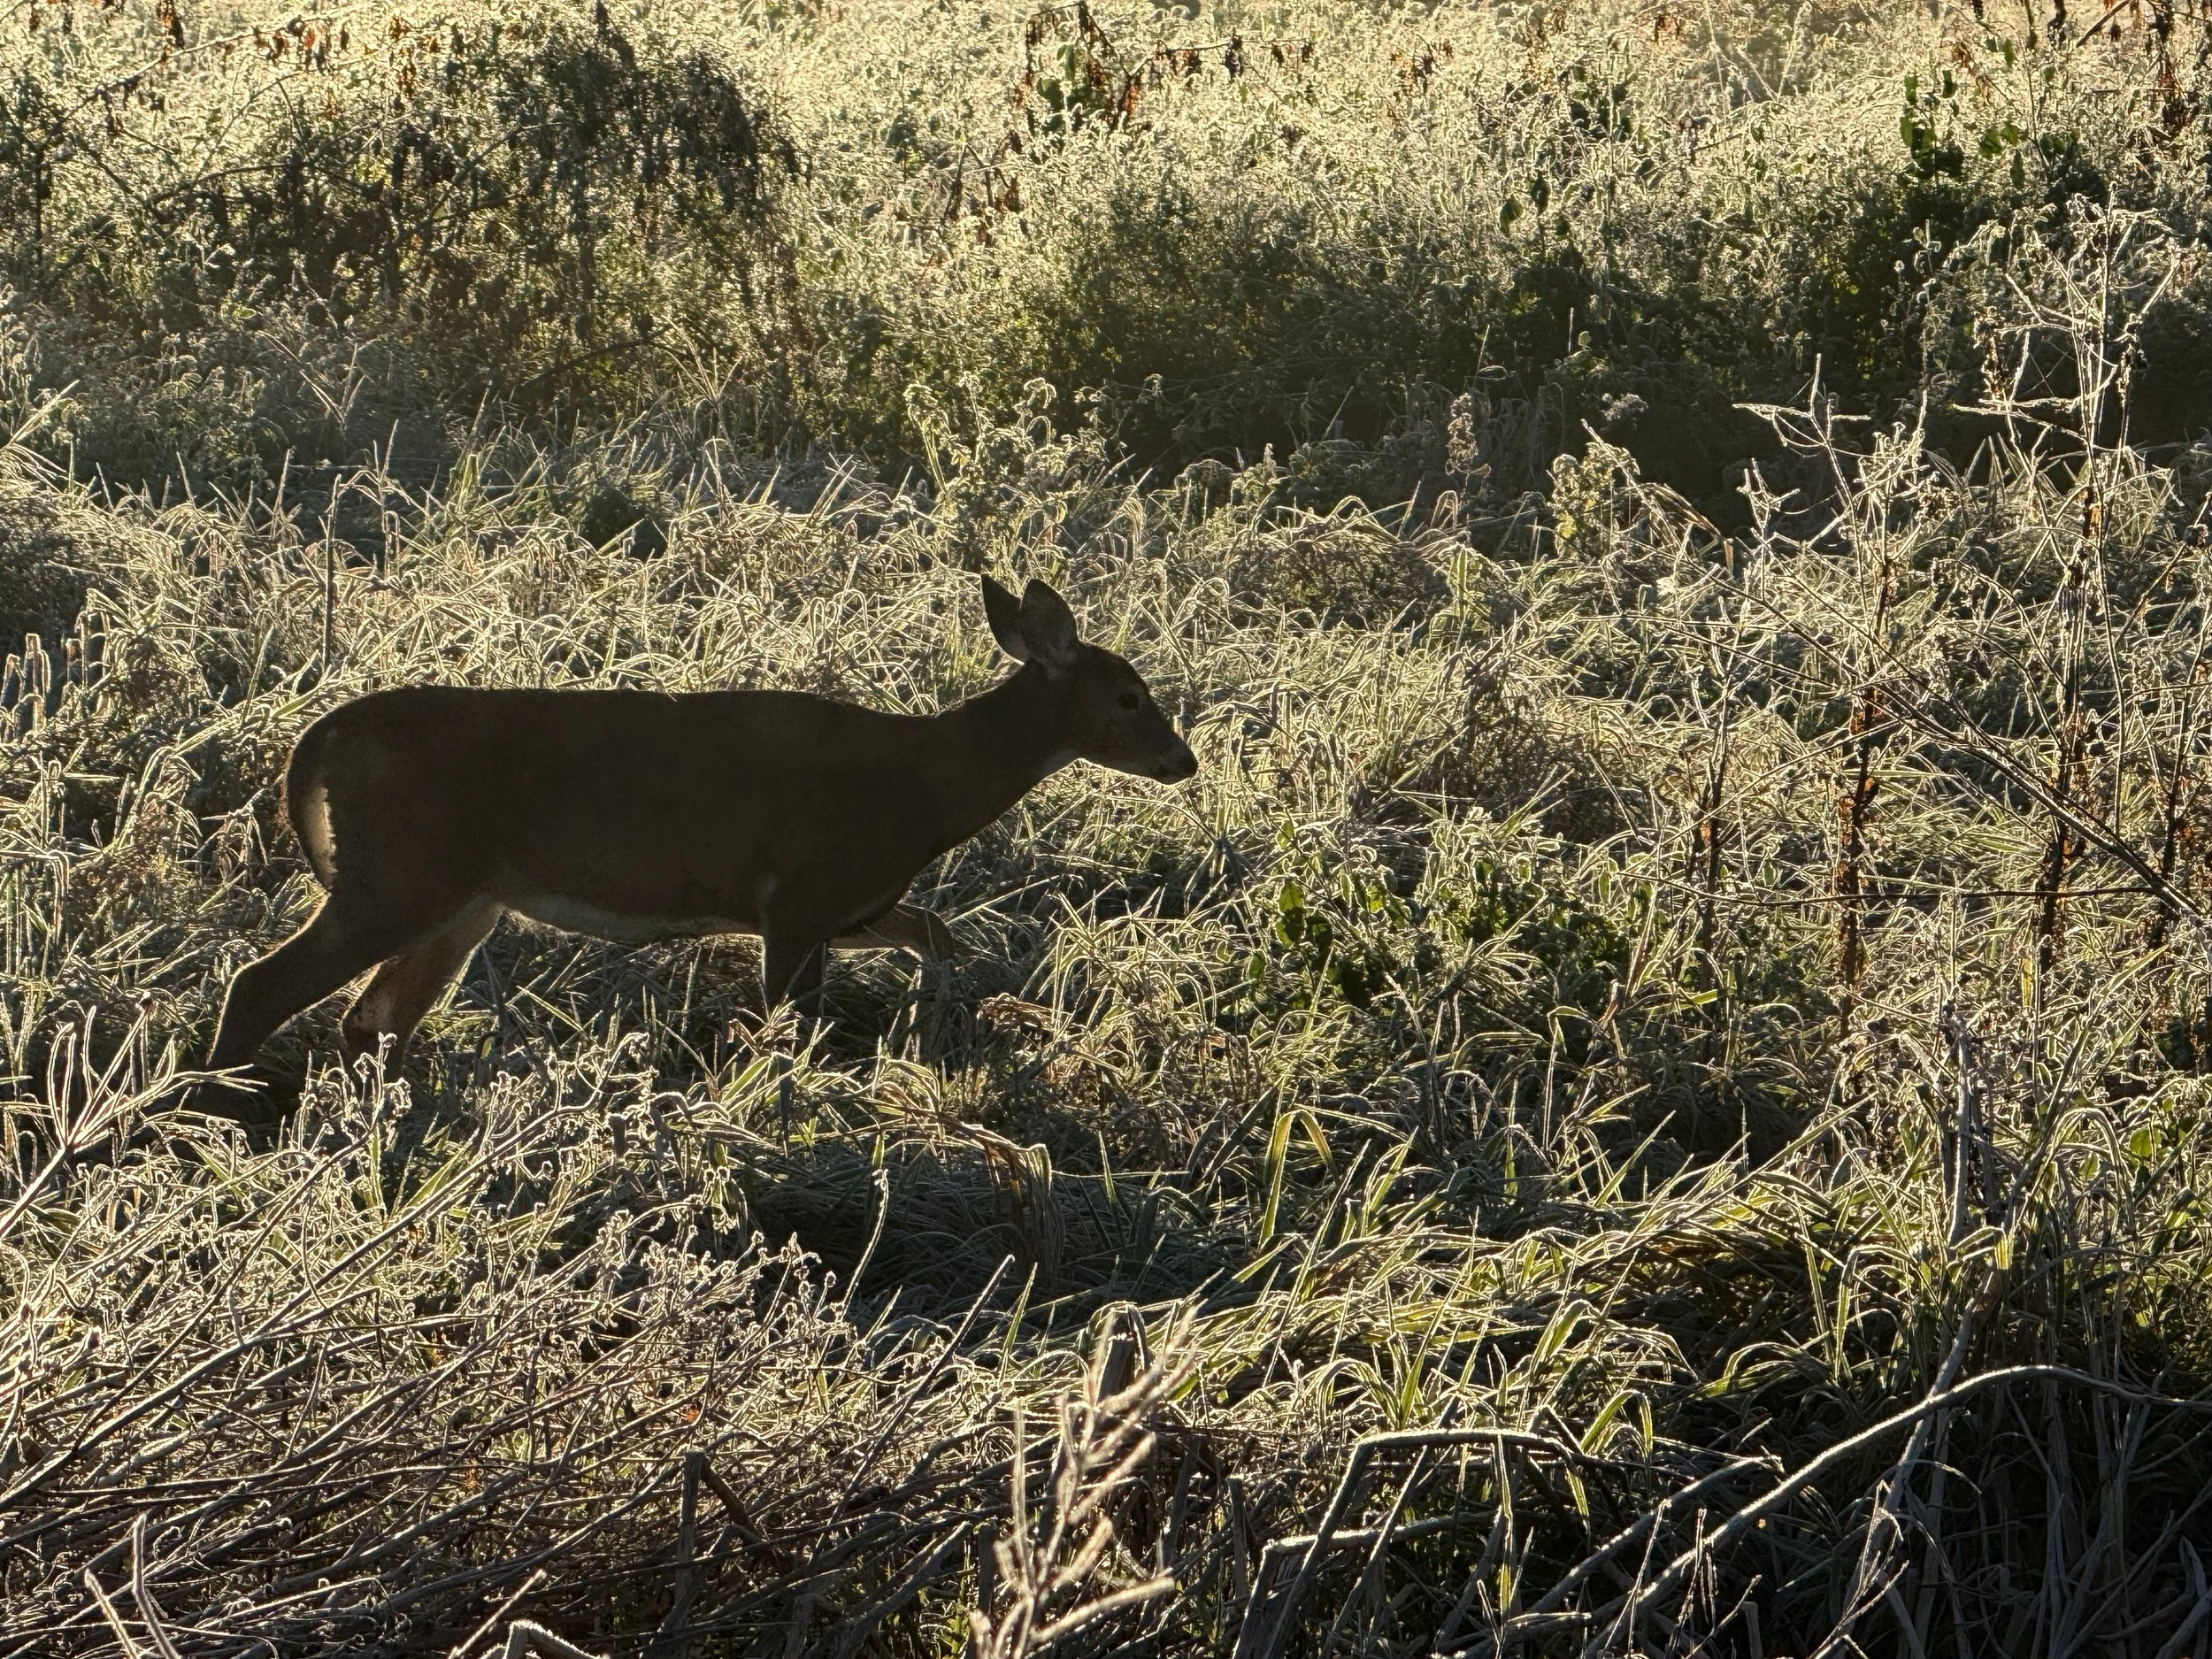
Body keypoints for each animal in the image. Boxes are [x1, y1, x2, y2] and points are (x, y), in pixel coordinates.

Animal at [202, 577, 1197, 1096]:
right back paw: (217, 1108)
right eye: (1128, 696)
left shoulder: (852, 901)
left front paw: (930, 1035)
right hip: (399, 874)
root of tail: (320, 738)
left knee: (372, 1016)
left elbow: (937, 934)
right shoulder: (799, 894)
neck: (927, 786)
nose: (1181, 760)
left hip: (458, 897)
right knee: (263, 985)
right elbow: (790, 1028)